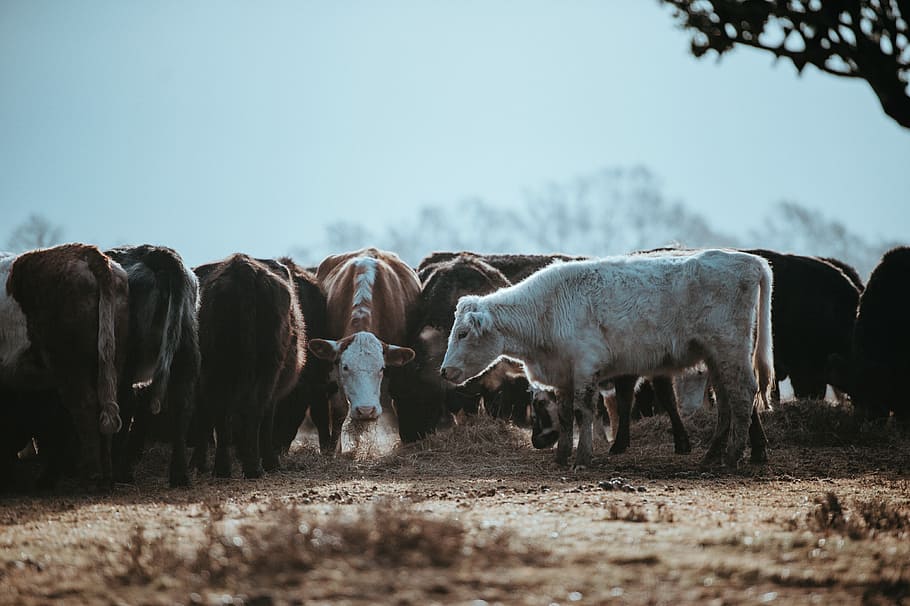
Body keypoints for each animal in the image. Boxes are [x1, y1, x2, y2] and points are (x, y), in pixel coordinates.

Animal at [1, 244, 129, 488]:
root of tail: (87, 252)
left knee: (84, 406)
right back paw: (105, 475)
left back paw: (91, 476)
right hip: (109, 358)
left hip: (70, 365)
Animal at [103, 245, 200, 487]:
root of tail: (155, 252)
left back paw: (120, 472)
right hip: (186, 350)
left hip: (128, 356)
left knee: (125, 404)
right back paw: (179, 475)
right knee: (183, 405)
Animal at [190, 254, 306, 478]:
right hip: (265, 369)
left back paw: (225, 468)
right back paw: (252, 467)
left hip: (217, 369)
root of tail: (243, 270)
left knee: (224, 412)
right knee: (252, 411)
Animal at [307, 248, 418, 449]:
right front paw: (335, 450)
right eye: (345, 367)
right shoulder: (333, 367)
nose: (366, 410)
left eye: (381, 368)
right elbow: (339, 409)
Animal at [440, 249, 774, 469]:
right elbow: (565, 415)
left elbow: (584, 411)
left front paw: (583, 458)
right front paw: (561, 457)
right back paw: (712, 455)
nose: (444, 371)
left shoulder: (586, 366)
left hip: (730, 349)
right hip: (716, 357)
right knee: (727, 400)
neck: (547, 308)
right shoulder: (563, 373)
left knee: (743, 395)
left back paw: (732, 458)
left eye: (463, 333)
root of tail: (751, 261)